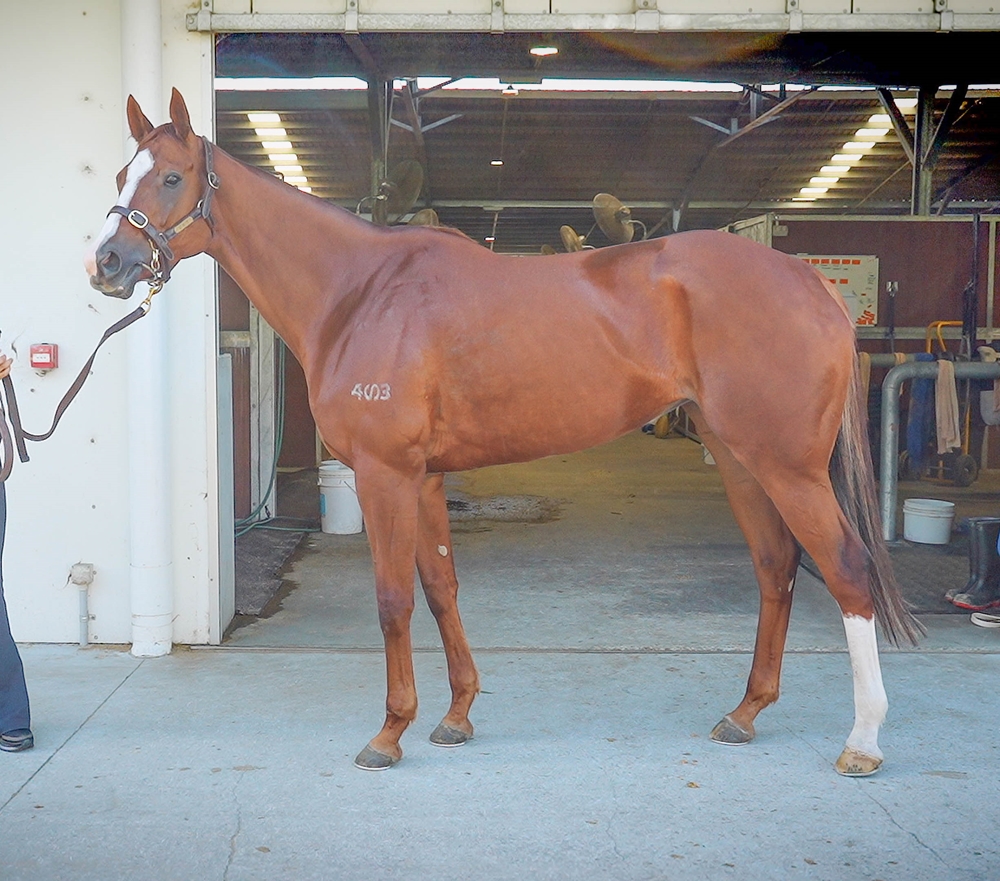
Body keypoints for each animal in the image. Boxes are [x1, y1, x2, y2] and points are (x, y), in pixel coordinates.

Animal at [85, 88, 921, 776]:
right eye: (120, 173)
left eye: (169, 179)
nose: (106, 263)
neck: (361, 291)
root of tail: (811, 281)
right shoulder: (424, 475)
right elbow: (441, 587)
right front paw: (455, 716)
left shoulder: (386, 473)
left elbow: (392, 596)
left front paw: (388, 733)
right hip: (739, 457)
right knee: (777, 567)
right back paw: (745, 713)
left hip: (788, 466)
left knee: (845, 568)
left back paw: (864, 740)